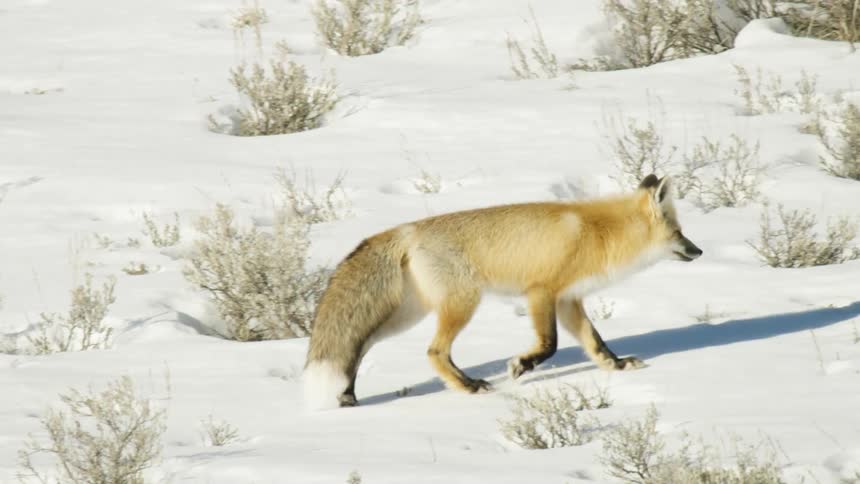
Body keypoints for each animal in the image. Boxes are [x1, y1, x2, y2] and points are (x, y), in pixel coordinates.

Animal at [304, 174, 702, 409]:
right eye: (679, 232)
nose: (699, 251)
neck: (599, 232)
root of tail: (407, 229)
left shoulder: (569, 300)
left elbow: (596, 343)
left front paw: (616, 366)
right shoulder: (541, 291)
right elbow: (549, 344)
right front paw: (521, 366)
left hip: (407, 314)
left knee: (359, 345)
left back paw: (347, 394)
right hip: (462, 303)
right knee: (433, 352)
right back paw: (468, 387)